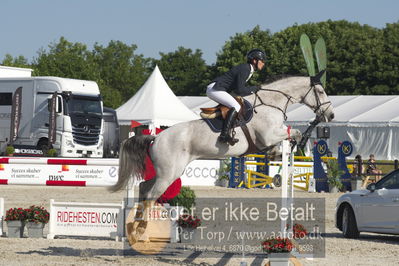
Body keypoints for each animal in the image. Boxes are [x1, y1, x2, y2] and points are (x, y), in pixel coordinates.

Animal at [108, 74, 334, 243]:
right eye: (321, 91)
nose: (330, 115)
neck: (271, 104)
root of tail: (156, 137)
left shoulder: (269, 139)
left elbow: (281, 146)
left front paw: (280, 154)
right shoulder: (269, 135)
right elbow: (294, 132)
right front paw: (299, 142)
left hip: (166, 172)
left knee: (144, 187)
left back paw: (134, 226)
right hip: (168, 174)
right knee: (150, 195)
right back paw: (141, 229)